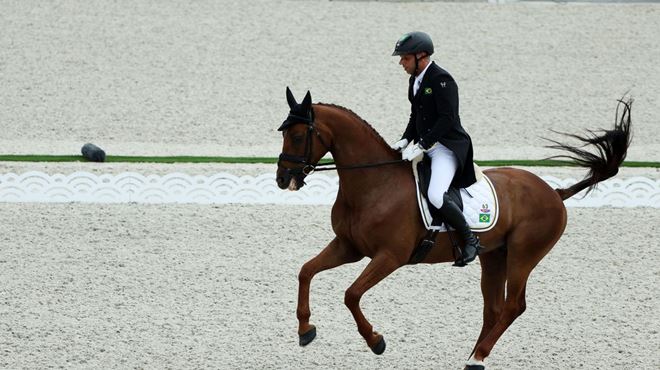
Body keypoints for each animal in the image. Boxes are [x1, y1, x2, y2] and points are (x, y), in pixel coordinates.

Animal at [276, 88, 632, 368]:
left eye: (298, 136)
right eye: (283, 133)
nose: (282, 179)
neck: (375, 184)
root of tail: (554, 193)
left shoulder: (389, 256)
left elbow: (351, 295)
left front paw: (375, 340)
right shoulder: (348, 247)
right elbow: (305, 271)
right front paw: (305, 330)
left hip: (523, 255)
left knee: (513, 306)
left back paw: (477, 357)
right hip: (494, 256)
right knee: (493, 309)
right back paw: (473, 356)